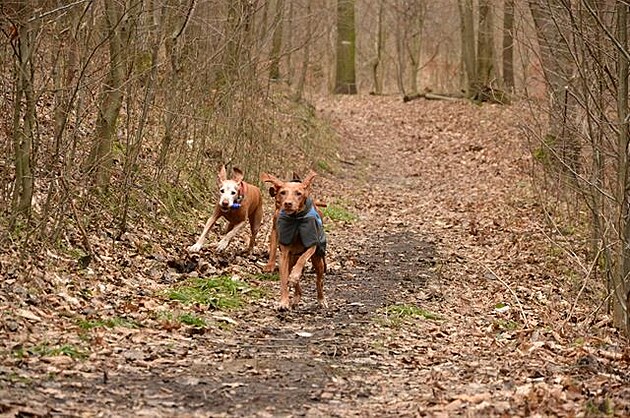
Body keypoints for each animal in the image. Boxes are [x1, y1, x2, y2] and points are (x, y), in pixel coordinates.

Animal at [262, 171, 330, 310]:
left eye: (298, 193)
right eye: (282, 192)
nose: (287, 203)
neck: (296, 220)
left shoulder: (312, 245)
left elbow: (303, 259)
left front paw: (295, 275)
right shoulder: (284, 253)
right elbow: (284, 280)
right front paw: (283, 302)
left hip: (317, 261)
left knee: (319, 280)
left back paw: (321, 299)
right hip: (291, 258)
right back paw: (296, 295)